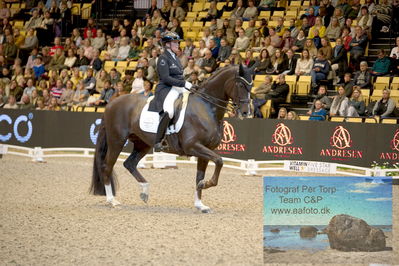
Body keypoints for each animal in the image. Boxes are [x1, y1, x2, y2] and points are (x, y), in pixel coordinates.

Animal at [90, 64, 253, 212]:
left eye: (251, 85)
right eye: (240, 84)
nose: (246, 112)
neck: (206, 108)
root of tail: (111, 103)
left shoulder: (205, 150)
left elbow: (199, 176)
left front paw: (200, 204)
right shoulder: (192, 146)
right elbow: (219, 161)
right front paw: (206, 184)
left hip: (142, 143)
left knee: (129, 164)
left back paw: (144, 191)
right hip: (117, 141)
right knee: (107, 167)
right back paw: (112, 200)